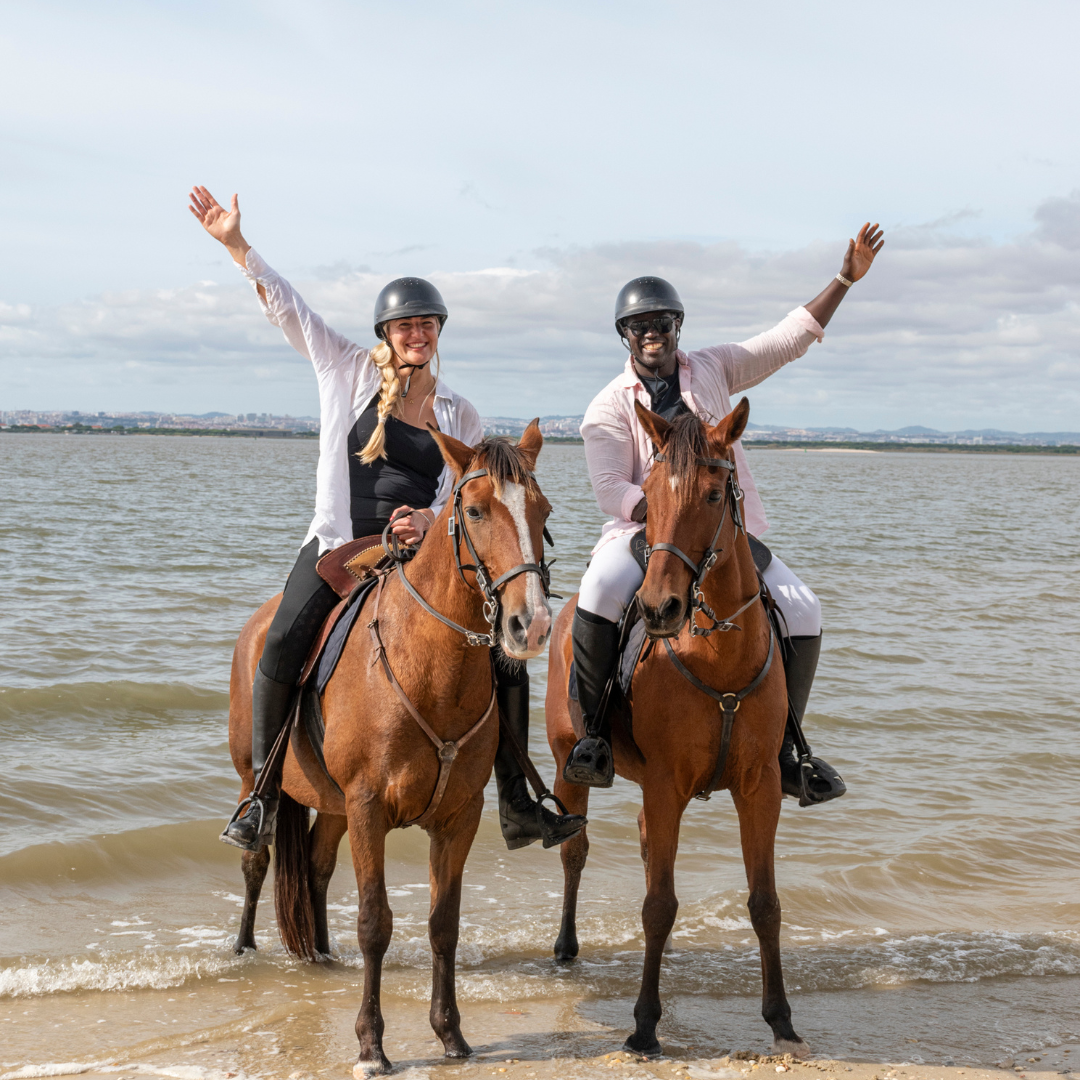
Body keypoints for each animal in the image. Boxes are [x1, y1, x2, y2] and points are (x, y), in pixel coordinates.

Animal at [224, 419, 552, 1071]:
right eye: (475, 511)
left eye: (543, 510)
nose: (531, 625)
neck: (428, 667)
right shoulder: (370, 806)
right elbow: (375, 920)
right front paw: (372, 1045)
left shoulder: (458, 816)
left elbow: (443, 924)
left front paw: (450, 1034)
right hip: (258, 779)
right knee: (256, 859)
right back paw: (245, 947)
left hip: (331, 805)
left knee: (317, 868)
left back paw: (322, 954)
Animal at [544, 401, 807, 1058]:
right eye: (651, 495)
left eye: (714, 494)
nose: (659, 607)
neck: (720, 656)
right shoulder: (667, 788)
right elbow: (658, 905)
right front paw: (643, 1024)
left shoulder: (760, 788)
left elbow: (765, 903)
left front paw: (781, 1018)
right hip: (568, 763)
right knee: (576, 850)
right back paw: (566, 946)